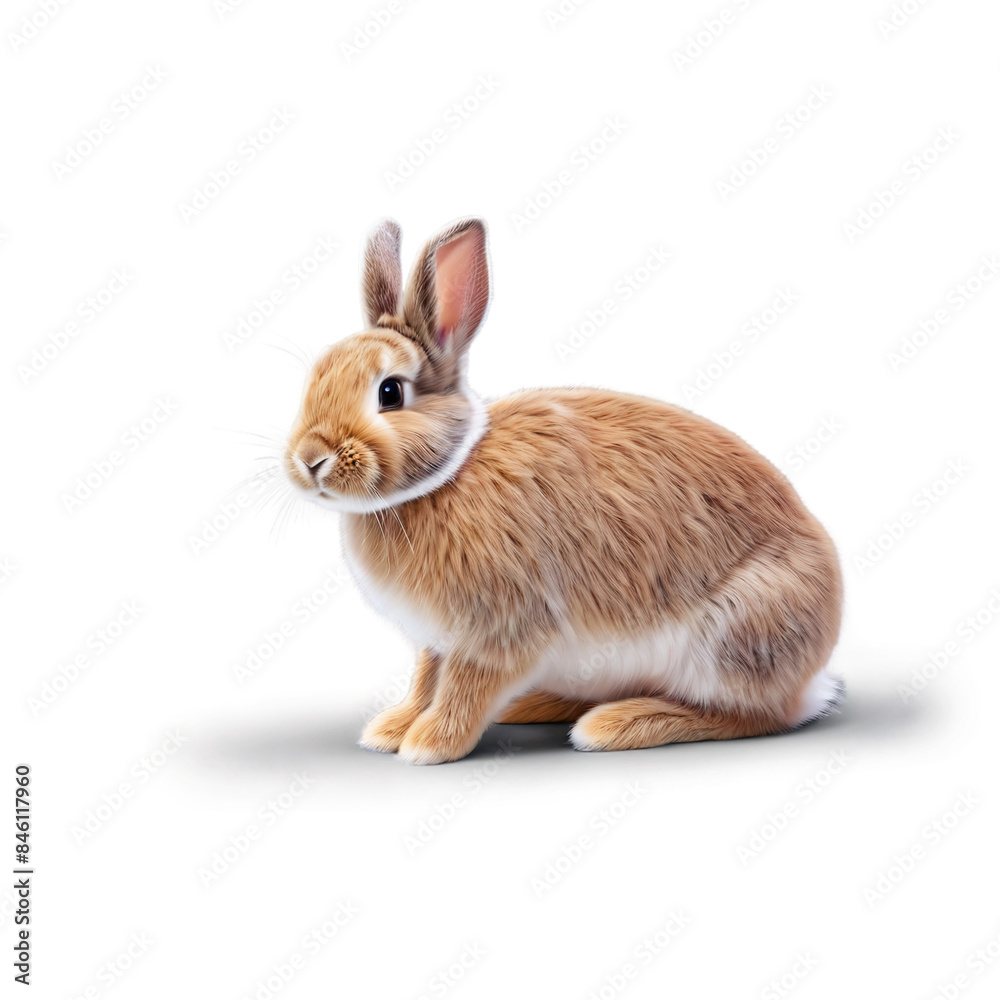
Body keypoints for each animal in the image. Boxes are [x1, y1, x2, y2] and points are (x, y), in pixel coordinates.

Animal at [283, 217, 843, 764]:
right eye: (316, 378)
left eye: (390, 392)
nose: (310, 460)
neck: (444, 479)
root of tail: (815, 669)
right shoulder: (436, 641)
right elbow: (426, 679)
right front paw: (391, 728)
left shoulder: (499, 628)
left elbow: (465, 686)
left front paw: (429, 743)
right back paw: (536, 706)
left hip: (731, 638)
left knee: (754, 716)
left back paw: (614, 725)